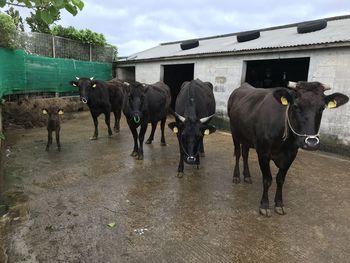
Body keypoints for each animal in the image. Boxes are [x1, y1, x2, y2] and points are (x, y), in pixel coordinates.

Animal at [228, 81, 348, 218]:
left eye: (322, 108)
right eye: (295, 106)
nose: (311, 143)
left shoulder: (291, 155)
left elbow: (280, 179)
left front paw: (279, 204)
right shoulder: (263, 152)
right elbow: (267, 179)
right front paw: (264, 206)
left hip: (247, 137)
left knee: (245, 154)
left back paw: (247, 176)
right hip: (234, 132)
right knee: (238, 153)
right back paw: (236, 176)